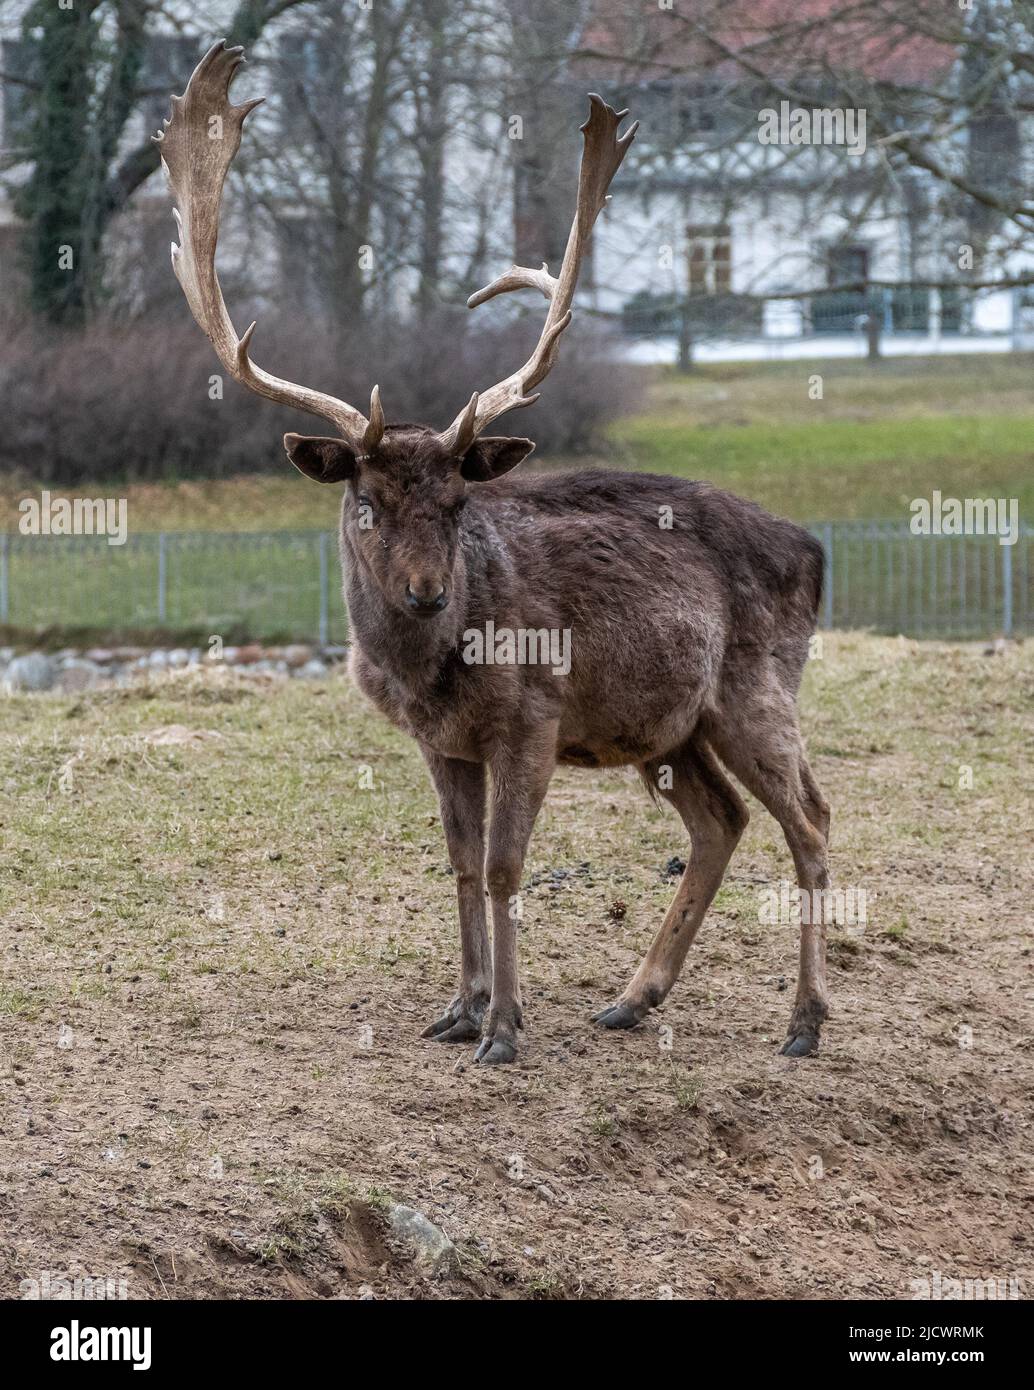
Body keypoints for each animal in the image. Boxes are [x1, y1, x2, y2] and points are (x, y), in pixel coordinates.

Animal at [155, 40, 833, 1061]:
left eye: (457, 498)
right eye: (366, 501)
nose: (429, 593)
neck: (427, 672)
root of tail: (815, 550)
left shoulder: (532, 720)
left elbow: (510, 867)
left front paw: (506, 1027)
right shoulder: (442, 743)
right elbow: (462, 864)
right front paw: (460, 1008)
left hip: (756, 687)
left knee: (811, 820)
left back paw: (805, 1022)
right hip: (672, 727)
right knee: (723, 820)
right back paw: (633, 997)